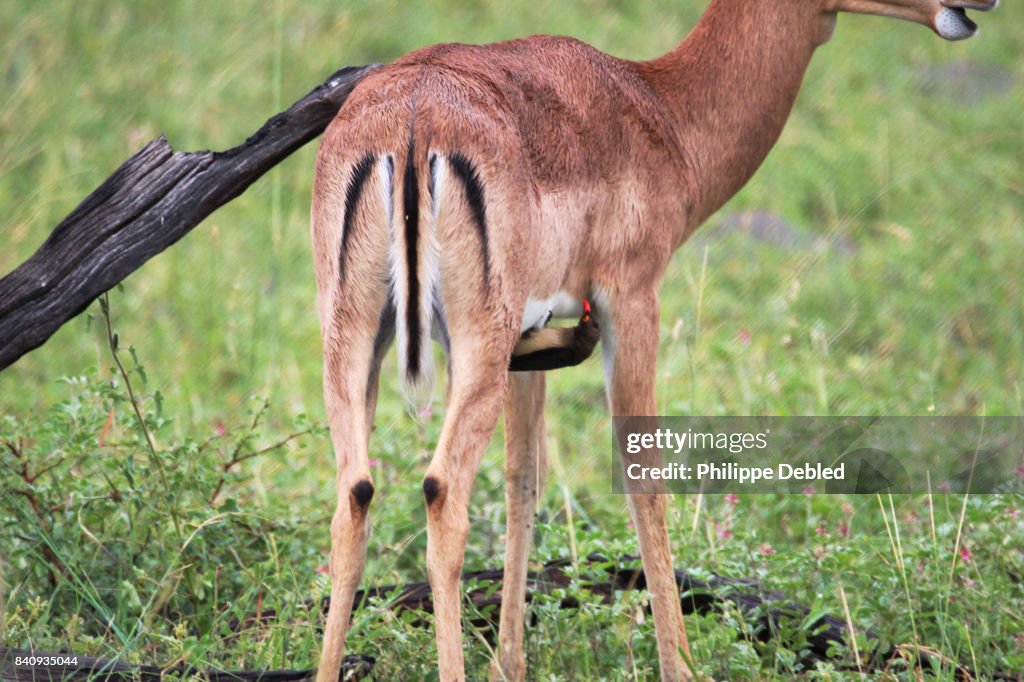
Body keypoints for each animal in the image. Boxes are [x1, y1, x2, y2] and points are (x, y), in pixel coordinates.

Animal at [310, 0, 998, 679]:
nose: (973, 8)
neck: (656, 108)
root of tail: (412, 121)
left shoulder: (532, 333)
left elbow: (523, 477)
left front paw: (511, 663)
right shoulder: (632, 299)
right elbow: (643, 474)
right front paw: (681, 667)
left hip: (360, 341)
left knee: (355, 493)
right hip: (474, 342)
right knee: (442, 490)